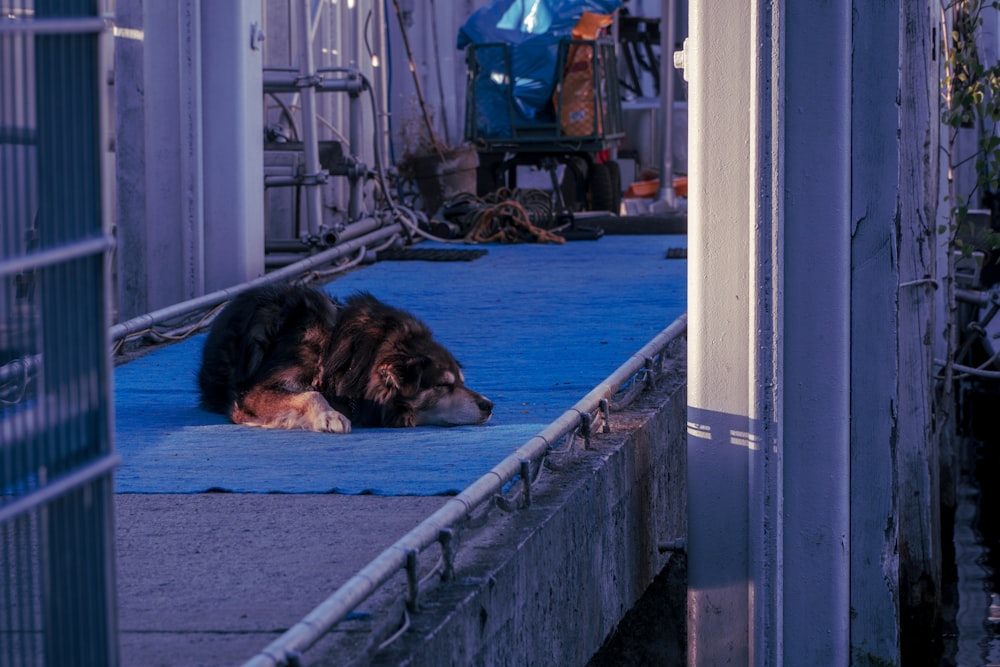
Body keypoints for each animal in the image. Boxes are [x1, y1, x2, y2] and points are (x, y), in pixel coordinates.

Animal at [197, 286, 494, 434]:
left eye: (461, 382)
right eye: (443, 385)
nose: (489, 405)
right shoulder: (253, 394)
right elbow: (311, 394)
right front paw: (329, 415)